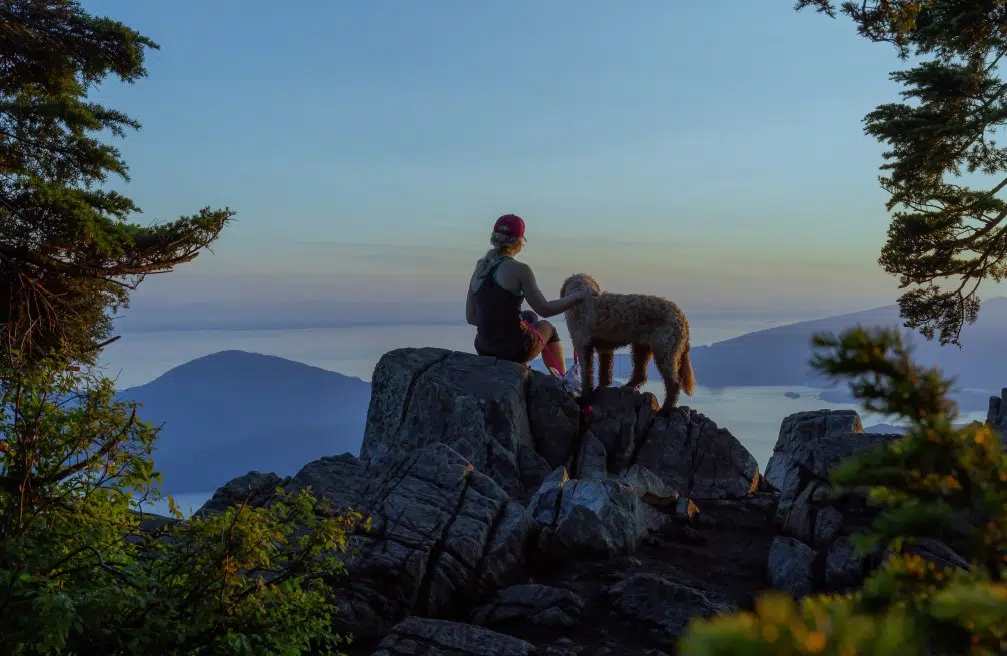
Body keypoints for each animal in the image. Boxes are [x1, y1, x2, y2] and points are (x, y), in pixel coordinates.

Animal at [559, 272, 692, 415]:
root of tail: (682, 317)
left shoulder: (582, 345)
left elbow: (586, 373)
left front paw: (584, 397)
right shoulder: (604, 346)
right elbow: (604, 369)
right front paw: (602, 386)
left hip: (664, 350)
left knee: (673, 383)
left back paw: (666, 408)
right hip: (641, 346)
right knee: (640, 374)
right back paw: (627, 386)